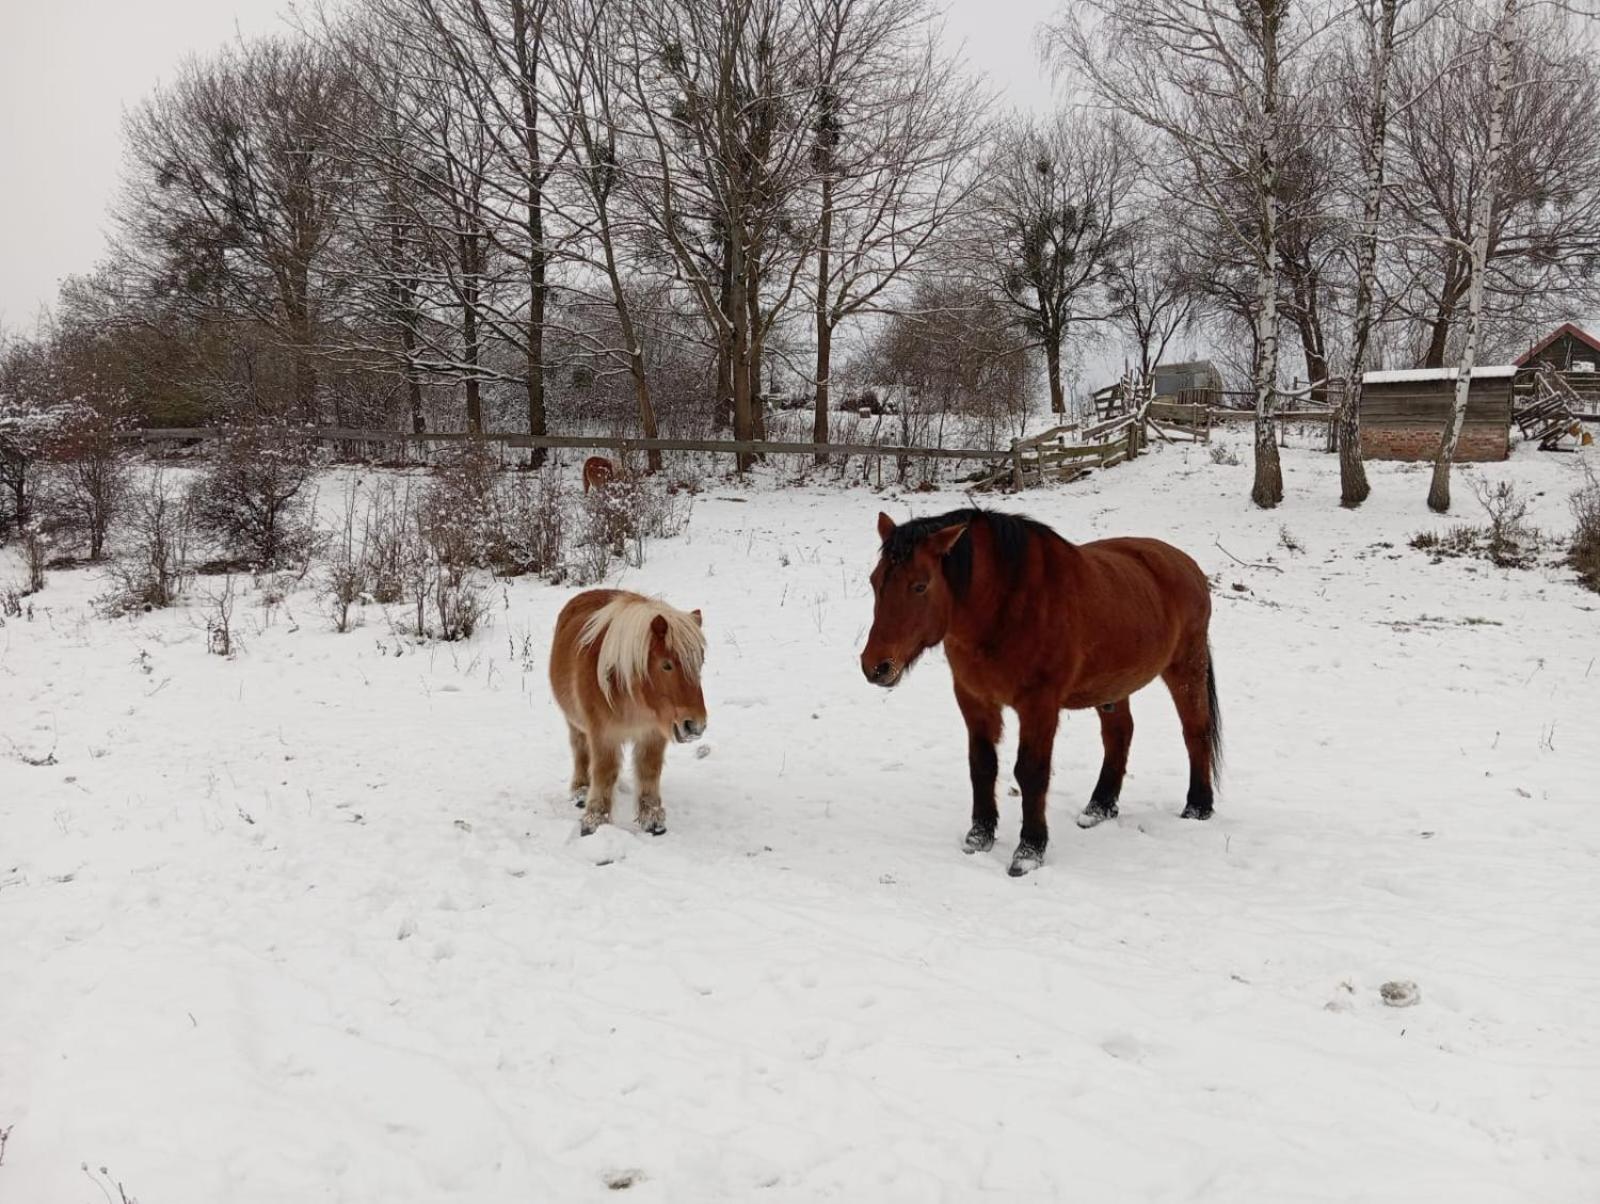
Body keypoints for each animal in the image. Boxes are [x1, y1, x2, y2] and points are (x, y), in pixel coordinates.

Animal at [550, 592, 707, 838]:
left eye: (701, 662)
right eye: (667, 665)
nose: (695, 726)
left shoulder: (652, 734)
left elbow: (648, 771)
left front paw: (652, 819)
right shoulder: (603, 735)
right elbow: (604, 773)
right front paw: (594, 821)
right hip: (575, 723)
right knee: (580, 751)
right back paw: (581, 791)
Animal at [864, 509, 1222, 877]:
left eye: (920, 585)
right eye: (874, 581)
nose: (875, 666)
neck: (1005, 607)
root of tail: (1186, 564)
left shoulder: (1038, 705)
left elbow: (1031, 772)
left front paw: (1029, 851)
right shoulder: (974, 699)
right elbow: (982, 764)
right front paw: (979, 836)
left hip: (1186, 668)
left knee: (1195, 731)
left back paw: (1198, 806)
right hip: (1113, 685)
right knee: (1119, 735)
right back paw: (1099, 806)